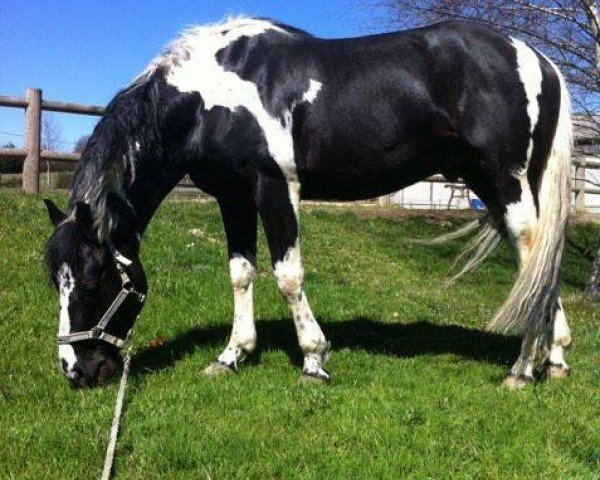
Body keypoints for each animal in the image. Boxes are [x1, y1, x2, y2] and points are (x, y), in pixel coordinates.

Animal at [45, 16, 572, 388]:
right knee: (540, 265)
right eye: (55, 281)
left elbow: (287, 275)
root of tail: (539, 60)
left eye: (93, 281)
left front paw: (314, 361)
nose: (75, 370)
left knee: (534, 258)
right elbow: (241, 274)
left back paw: (521, 370)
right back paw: (556, 358)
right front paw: (231, 357)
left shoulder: (276, 187)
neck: (210, 97)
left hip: (505, 183)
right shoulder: (234, 198)